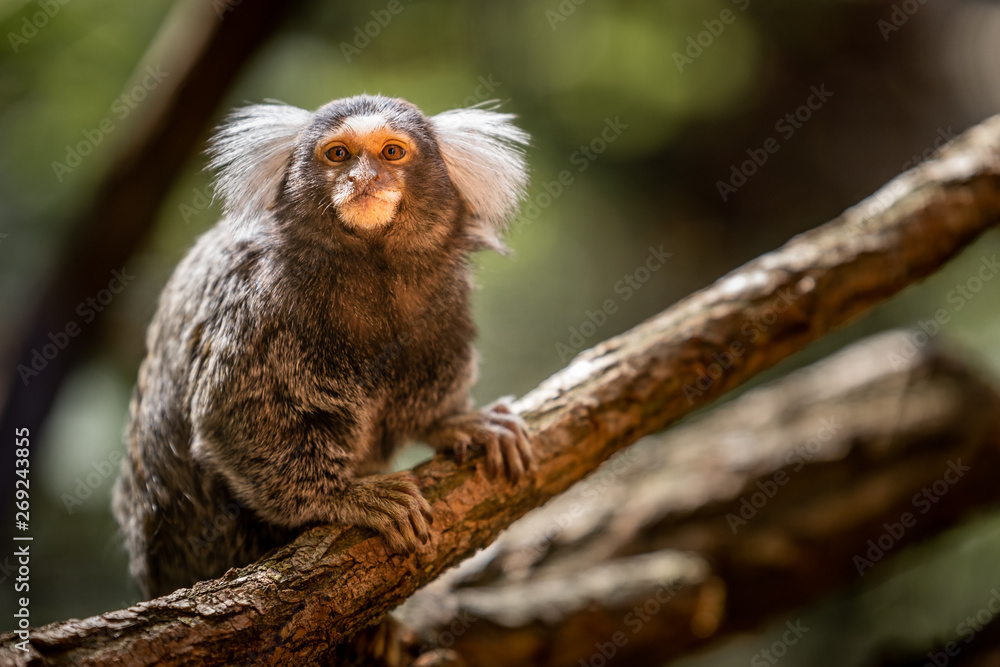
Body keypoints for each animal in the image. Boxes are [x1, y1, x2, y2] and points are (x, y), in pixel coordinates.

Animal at [112, 94, 533, 600]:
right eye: (338, 155)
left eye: (392, 153)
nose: (363, 179)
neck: (369, 266)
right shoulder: (256, 300)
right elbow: (231, 416)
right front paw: (342, 496)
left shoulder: (444, 301)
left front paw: (452, 424)